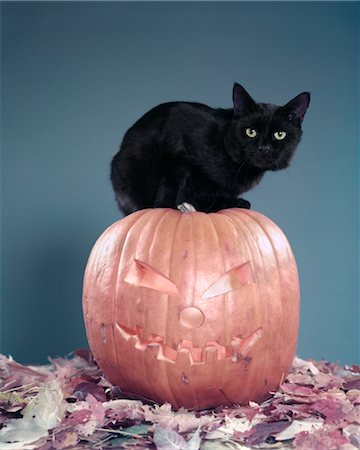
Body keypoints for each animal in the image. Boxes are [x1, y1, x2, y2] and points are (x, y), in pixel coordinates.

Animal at [110, 84, 310, 214]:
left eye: (279, 134)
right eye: (251, 131)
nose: (264, 148)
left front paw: (229, 203)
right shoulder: (176, 145)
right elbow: (171, 182)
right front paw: (164, 206)